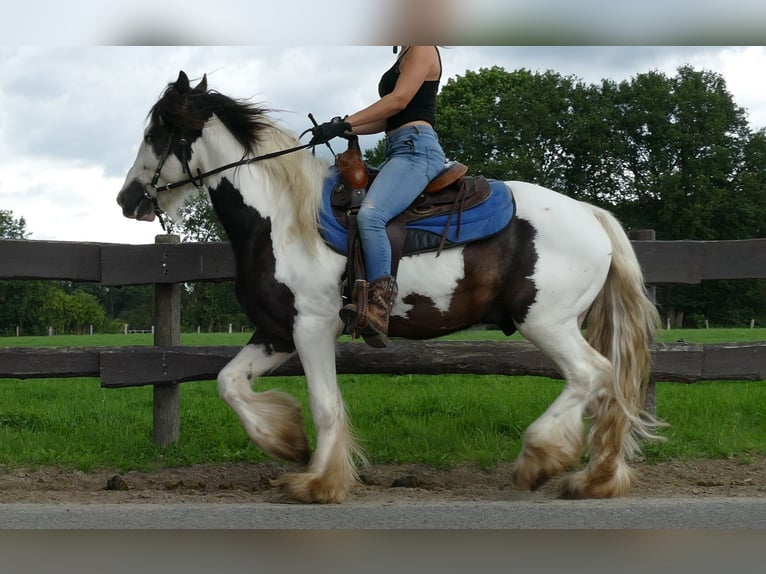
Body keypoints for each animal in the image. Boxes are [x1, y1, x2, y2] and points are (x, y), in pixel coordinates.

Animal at [117, 71, 664, 504]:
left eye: (155, 133)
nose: (127, 199)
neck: (283, 220)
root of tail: (592, 215)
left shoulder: (312, 328)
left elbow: (325, 404)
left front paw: (319, 483)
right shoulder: (275, 332)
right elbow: (229, 383)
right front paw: (286, 441)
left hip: (548, 322)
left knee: (593, 375)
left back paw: (541, 459)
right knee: (608, 385)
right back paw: (596, 479)